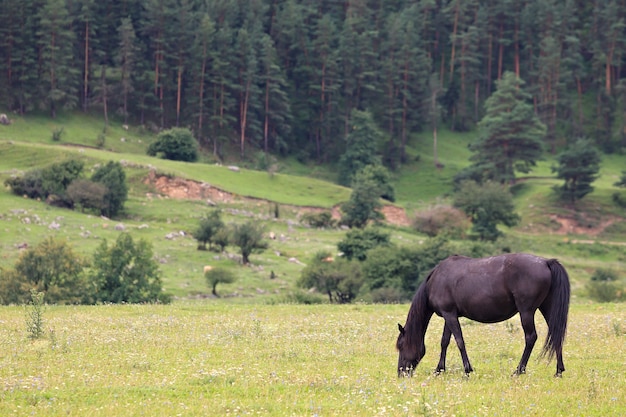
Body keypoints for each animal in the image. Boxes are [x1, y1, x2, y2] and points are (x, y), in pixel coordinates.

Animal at [398, 254, 568, 376]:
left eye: (400, 345)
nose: (401, 373)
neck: (436, 280)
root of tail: (545, 262)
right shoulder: (450, 315)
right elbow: (445, 341)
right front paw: (439, 370)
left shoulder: (450, 315)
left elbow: (459, 341)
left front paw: (467, 370)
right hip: (546, 308)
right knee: (556, 333)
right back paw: (558, 371)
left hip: (526, 311)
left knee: (531, 337)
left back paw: (519, 370)